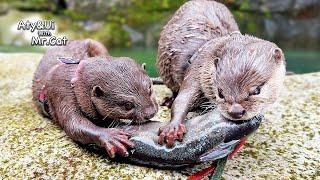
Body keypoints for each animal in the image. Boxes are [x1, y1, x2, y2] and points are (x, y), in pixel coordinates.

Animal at [157, 0, 284, 147]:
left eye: (256, 90)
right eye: (220, 93)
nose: (236, 111)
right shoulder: (199, 69)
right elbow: (182, 99)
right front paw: (172, 128)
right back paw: (168, 100)